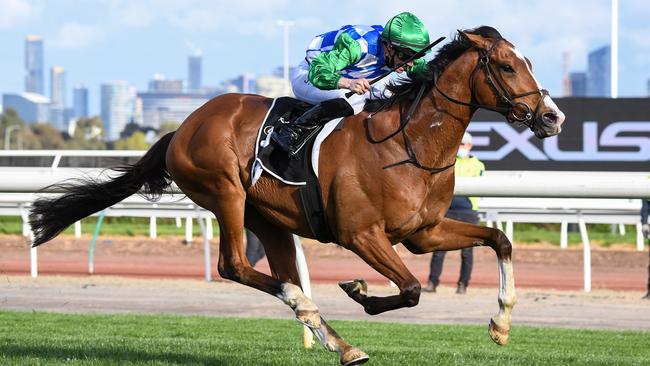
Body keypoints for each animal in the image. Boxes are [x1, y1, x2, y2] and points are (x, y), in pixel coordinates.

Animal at [29, 27, 560, 366]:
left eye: (531, 63)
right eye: (507, 66)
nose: (552, 117)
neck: (406, 144)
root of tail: (183, 127)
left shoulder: (423, 233)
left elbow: (499, 240)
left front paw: (501, 325)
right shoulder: (360, 234)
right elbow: (409, 289)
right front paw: (360, 291)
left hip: (269, 219)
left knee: (278, 271)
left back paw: (340, 343)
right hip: (225, 193)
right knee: (235, 266)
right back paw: (310, 309)